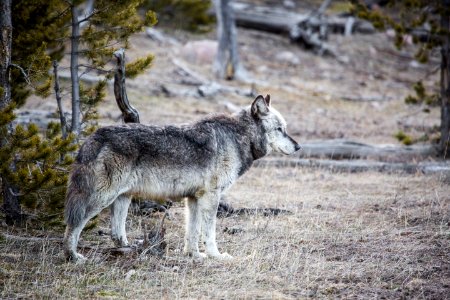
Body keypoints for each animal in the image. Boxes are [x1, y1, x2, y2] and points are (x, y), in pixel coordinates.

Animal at [63, 95, 300, 262]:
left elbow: (192, 233)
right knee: (74, 224)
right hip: (102, 199)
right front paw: (216, 256)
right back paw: (73, 256)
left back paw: (131, 250)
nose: (298, 147)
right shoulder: (211, 196)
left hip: (122, 199)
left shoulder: (194, 198)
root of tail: (93, 137)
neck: (239, 137)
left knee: (116, 233)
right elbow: (209, 233)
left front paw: (194, 256)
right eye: (280, 129)